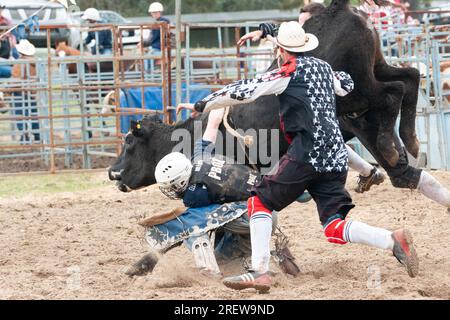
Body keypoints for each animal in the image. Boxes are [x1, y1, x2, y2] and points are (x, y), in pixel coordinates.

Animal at [108, 0, 422, 190]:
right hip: (376, 66)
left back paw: (392, 147)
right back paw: (410, 141)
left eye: (130, 143)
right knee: (410, 76)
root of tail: (337, 8)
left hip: (357, 91)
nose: (113, 172)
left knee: (392, 93)